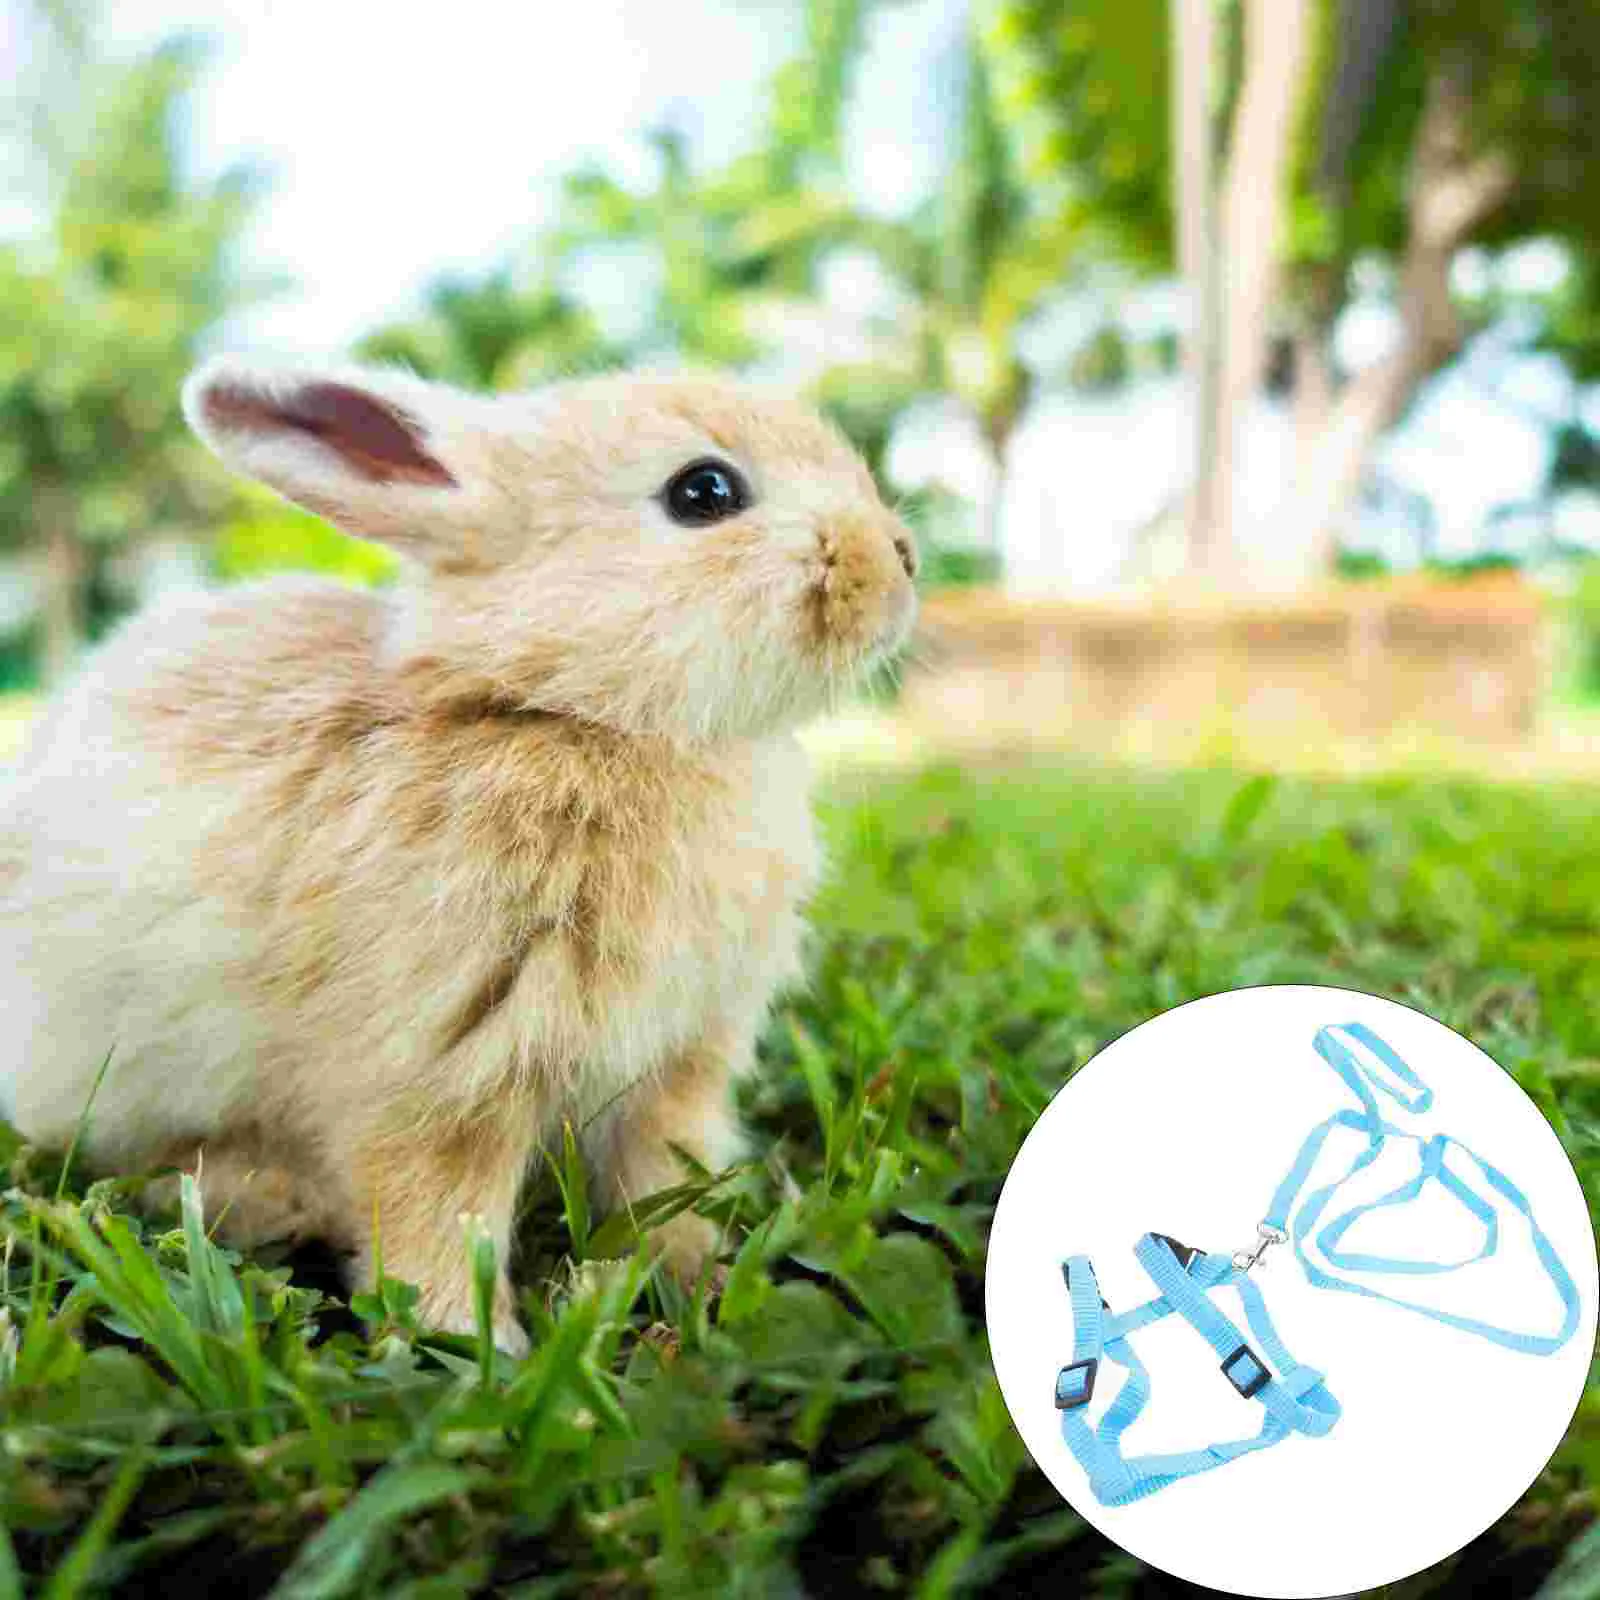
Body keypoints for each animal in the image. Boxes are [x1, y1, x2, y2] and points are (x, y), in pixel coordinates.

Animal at [0, 358, 919, 1354]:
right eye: (704, 492)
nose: (901, 560)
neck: (560, 707)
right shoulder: (436, 1070)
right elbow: (437, 1215)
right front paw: (473, 1347)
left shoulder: (676, 1068)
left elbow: (664, 1181)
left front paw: (696, 1278)